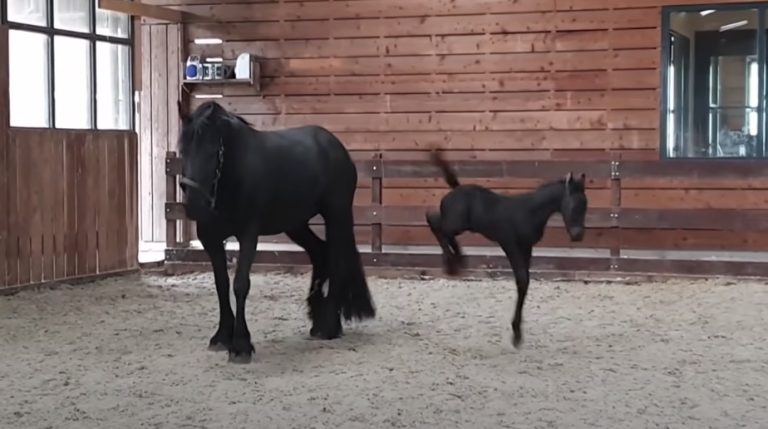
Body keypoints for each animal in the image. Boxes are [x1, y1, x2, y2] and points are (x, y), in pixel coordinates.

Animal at [177, 100, 376, 363]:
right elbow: (221, 284)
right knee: (319, 253)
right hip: (295, 223)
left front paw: (240, 345)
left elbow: (240, 284)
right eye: (182, 151)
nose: (194, 206)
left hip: (337, 215)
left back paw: (329, 326)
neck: (232, 177)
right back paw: (317, 321)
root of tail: (335, 146)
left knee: (336, 261)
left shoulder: (248, 235)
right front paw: (221, 337)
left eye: (213, 152)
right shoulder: (210, 240)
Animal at [424, 149, 588, 348]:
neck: (529, 211)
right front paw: (516, 333)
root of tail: (455, 189)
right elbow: (522, 281)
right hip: (454, 224)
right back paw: (452, 262)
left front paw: (517, 332)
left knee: (442, 230)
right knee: (433, 221)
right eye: (573, 205)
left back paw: (457, 260)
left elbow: (525, 283)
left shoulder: (527, 248)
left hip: (459, 225)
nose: (577, 235)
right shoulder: (511, 245)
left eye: (585, 205)